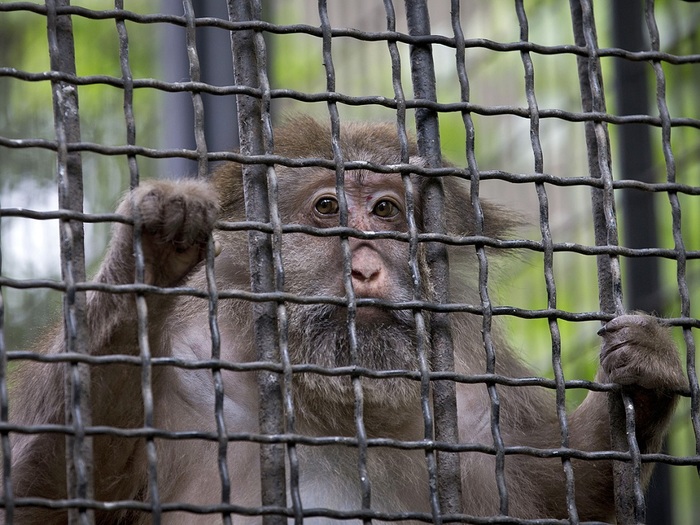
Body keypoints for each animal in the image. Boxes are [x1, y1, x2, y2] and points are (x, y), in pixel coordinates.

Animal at [4, 116, 684, 520]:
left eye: (384, 211)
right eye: (327, 207)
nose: (366, 268)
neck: (324, 401)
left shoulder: (473, 406)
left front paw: (647, 375)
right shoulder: (185, 367)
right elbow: (42, 497)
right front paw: (144, 257)